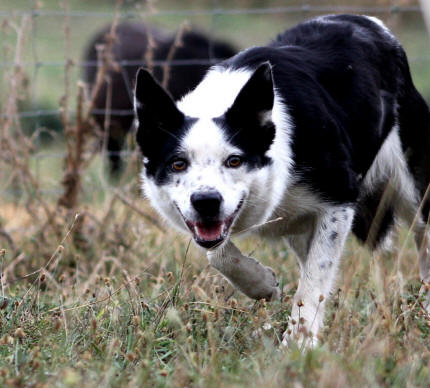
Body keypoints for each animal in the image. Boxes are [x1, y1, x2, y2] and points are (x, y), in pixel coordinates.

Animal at [134, 15, 430, 348]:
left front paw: (299, 342)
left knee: (424, 238)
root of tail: (374, 26)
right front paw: (262, 285)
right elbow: (218, 254)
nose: (206, 202)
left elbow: (315, 276)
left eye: (234, 161)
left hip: (416, 190)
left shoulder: (338, 201)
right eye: (178, 164)